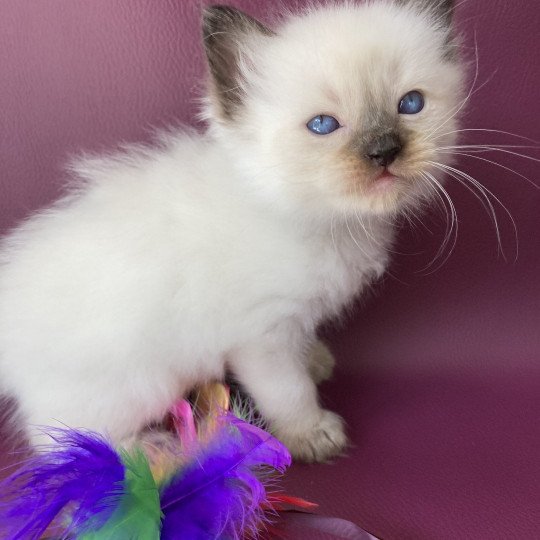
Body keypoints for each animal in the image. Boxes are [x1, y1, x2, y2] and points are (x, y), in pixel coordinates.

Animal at [0, 2, 464, 462]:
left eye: (410, 103)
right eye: (322, 126)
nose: (385, 150)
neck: (312, 216)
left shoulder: (293, 319)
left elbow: (303, 352)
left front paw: (315, 360)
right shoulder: (263, 337)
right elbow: (290, 391)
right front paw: (312, 434)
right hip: (139, 386)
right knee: (57, 438)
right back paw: (144, 452)